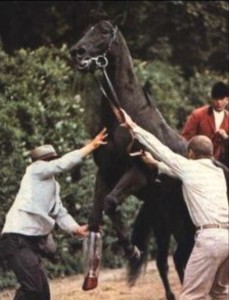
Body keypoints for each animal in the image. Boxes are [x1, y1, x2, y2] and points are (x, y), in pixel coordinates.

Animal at [70, 19, 195, 298]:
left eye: (104, 32)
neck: (125, 118)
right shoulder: (105, 173)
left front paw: (131, 250)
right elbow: (97, 216)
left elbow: (110, 202)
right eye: (85, 30)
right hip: (168, 222)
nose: (77, 52)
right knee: (175, 259)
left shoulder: (139, 174)